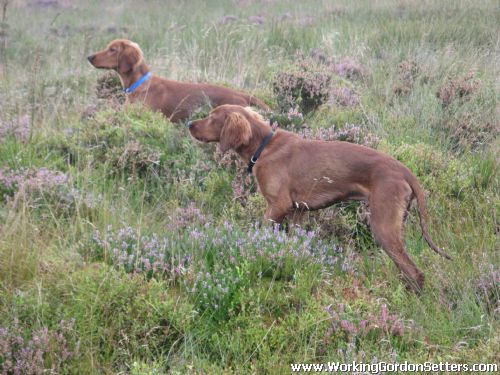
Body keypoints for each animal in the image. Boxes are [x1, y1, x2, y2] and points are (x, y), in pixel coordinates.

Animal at [188, 104, 454, 292]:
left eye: (212, 117)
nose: (189, 123)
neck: (264, 146)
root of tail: (403, 169)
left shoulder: (277, 206)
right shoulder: (297, 212)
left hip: (383, 226)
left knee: (415, 272)